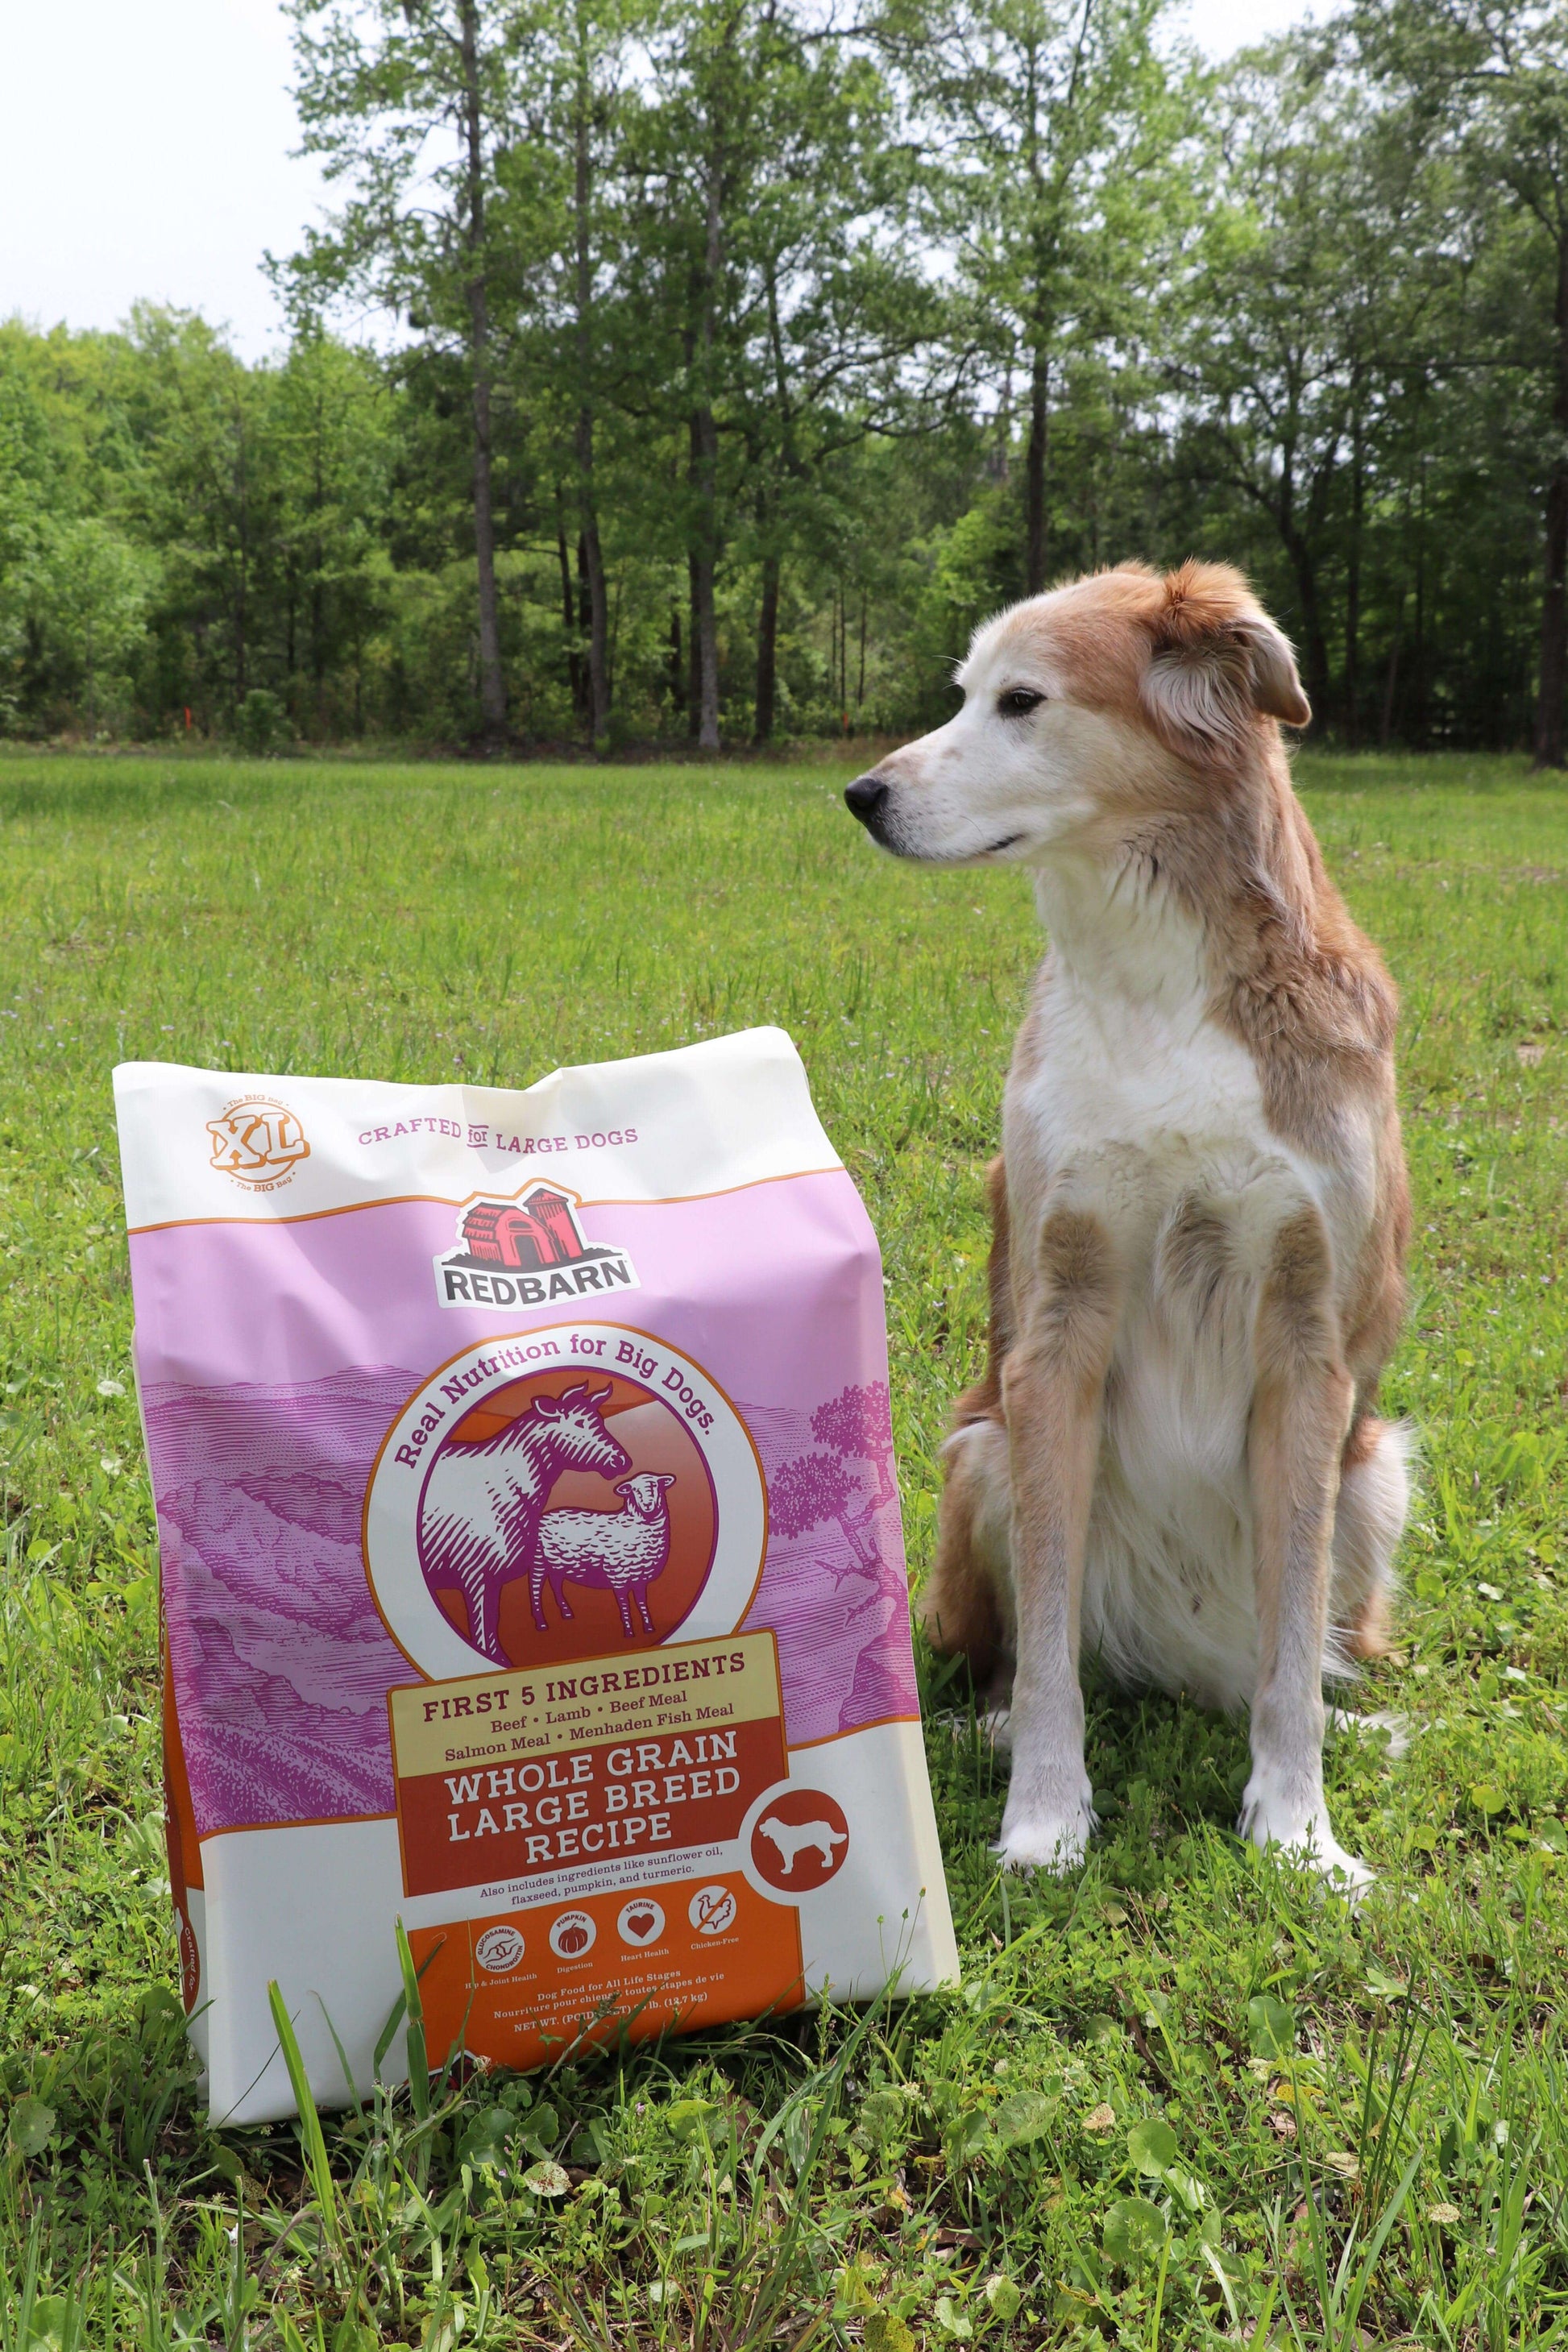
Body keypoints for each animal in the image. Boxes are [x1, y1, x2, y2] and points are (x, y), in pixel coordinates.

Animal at [851, 554, 1420, 1890]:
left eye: (1020, 700)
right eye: (961, 692)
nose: (861, 794)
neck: (1158, 986)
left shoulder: (1306, 1341)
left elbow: (1288, 1655)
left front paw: (1296, 1826)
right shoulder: (1056, 1325)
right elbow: (1053, 1642)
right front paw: (1042, 1817)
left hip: (1373, 1470)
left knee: (1284, 1651)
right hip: (981, 1451)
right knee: (1031, 1648)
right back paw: (993, 1723)